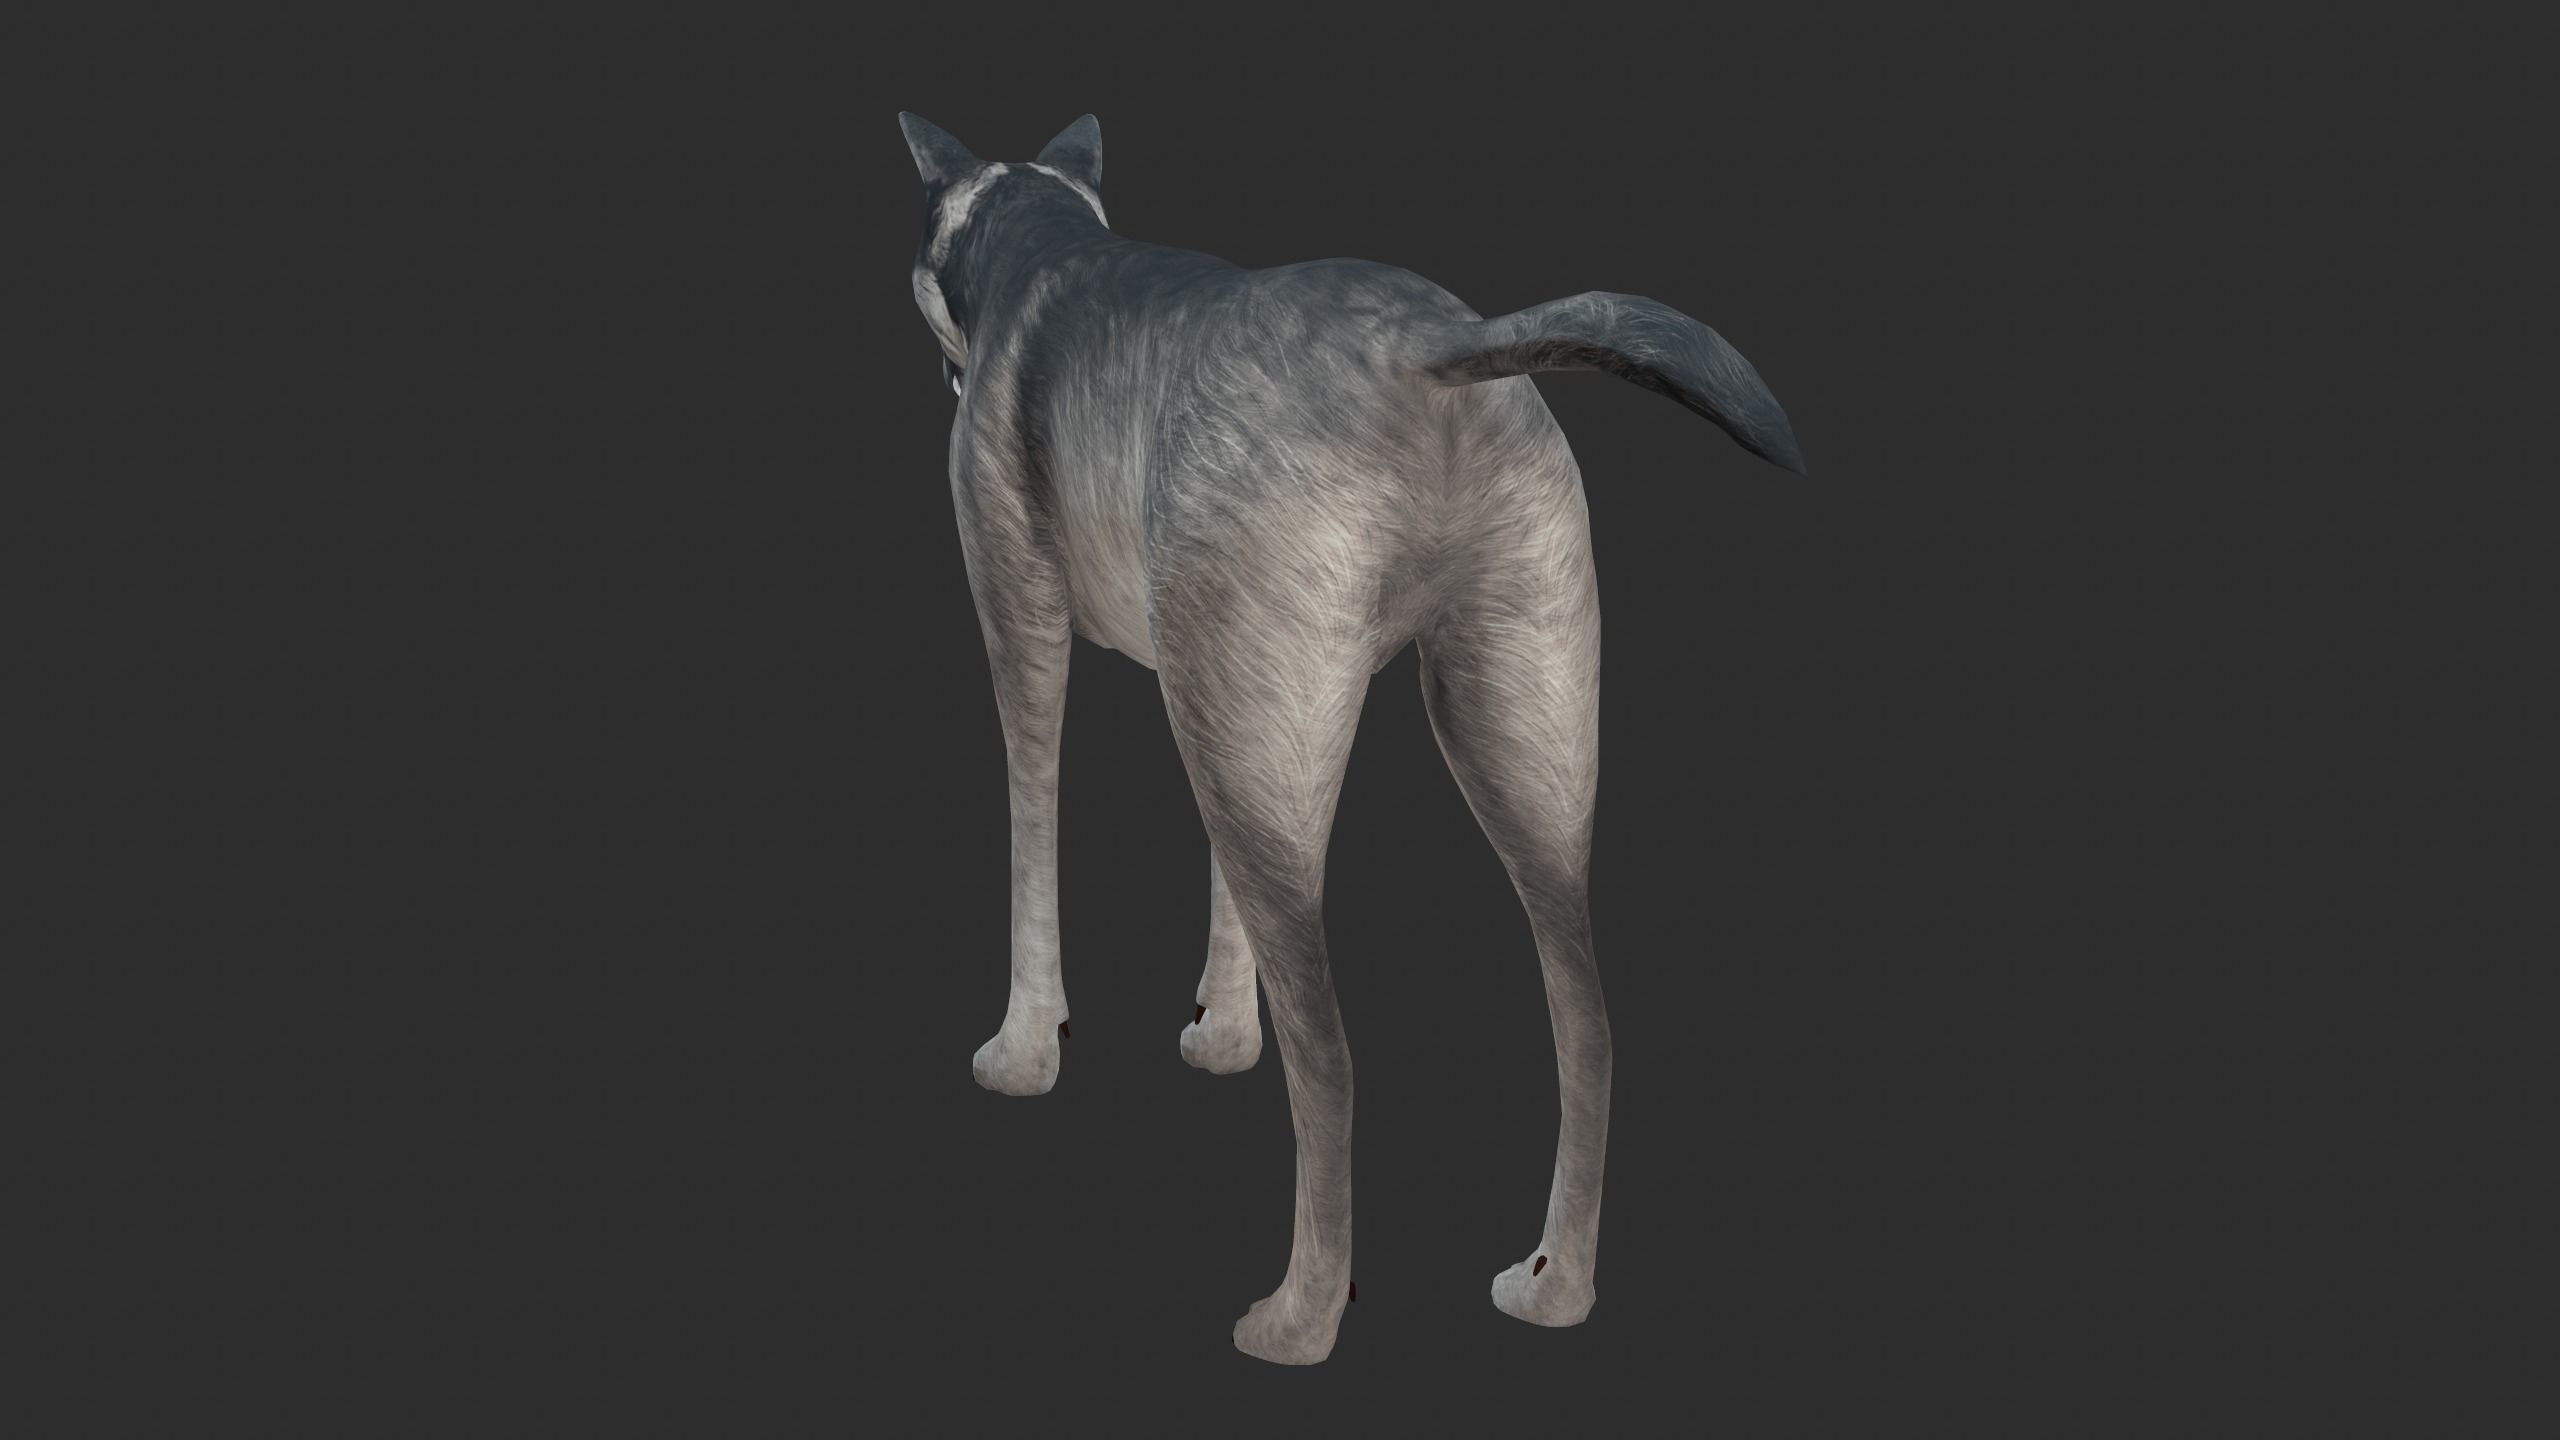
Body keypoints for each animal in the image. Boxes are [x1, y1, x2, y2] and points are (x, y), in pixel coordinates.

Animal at [899, 112, 1804, 1364]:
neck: (1041, 242)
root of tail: (1433, 345)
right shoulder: (1206, 687)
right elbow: (1217, 887)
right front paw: (1221, 1033)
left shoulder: (1022, 619)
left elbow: (1032, 824)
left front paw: (1024, 1054)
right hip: (1491, 724)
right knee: (1588, 1019)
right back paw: (1550, 1286)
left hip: (1271, 723)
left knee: (1330, 1061)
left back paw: (1297, 1317)